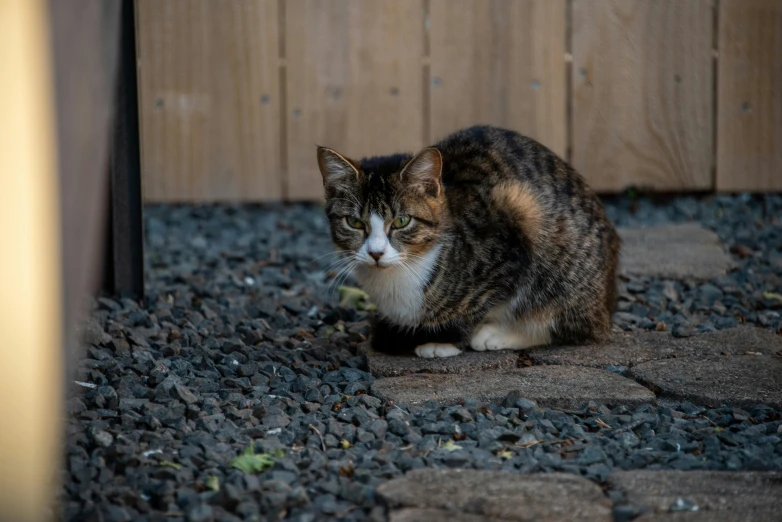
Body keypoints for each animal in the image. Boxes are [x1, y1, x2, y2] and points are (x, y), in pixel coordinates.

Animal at [316, 125, 620, 358]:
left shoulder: (508, 246)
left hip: (547, 239)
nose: (376, 253)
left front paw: (445, 341)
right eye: (354, 223)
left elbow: (476, 305)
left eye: (402, 221)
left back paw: (499, 335)